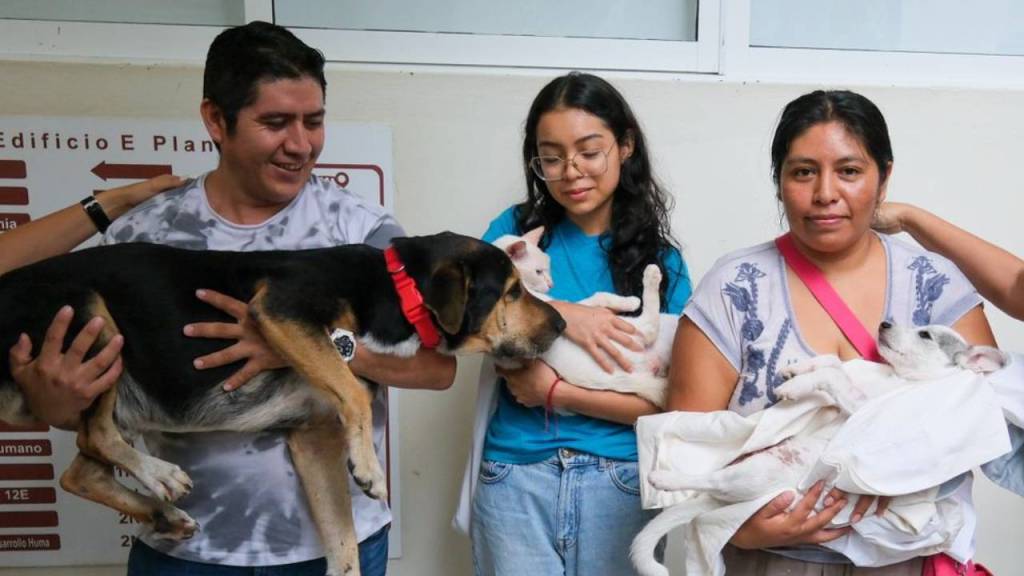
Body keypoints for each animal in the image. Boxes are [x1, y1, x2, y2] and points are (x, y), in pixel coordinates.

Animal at [489, 226, 675, 405]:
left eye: (547, 269)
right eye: (538, 272)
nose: (551, 284)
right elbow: (600, 297)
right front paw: (630, 301)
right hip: (634, 330)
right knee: (650, 326)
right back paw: (651, 276)